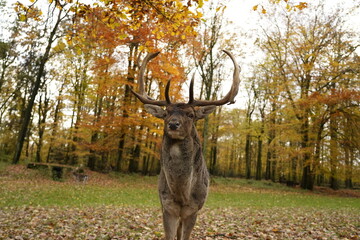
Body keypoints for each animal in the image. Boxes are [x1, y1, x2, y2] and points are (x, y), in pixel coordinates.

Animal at [130, 49, 239, 239]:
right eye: (166, 113)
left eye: (190, 114)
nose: (173, 124)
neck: (182, 194)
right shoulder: (167, 206)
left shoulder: (193, 209)